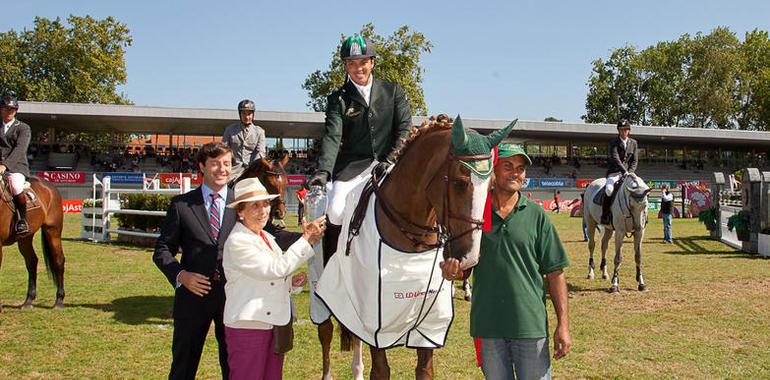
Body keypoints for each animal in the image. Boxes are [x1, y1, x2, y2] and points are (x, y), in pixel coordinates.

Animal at [0, 175, 64, 312]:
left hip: (53, 231)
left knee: (59, 260)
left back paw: (59, 301)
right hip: (25, 238)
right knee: (32, 261)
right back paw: (28, 301)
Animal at [316, 114, 512, 378]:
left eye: (491, 186)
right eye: (460, 183)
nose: (469, 258)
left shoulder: (427, 323)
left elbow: (425, 369)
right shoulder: (376, 318)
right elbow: (381, 370)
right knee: (325, 331)